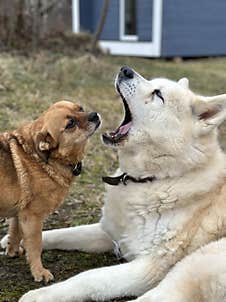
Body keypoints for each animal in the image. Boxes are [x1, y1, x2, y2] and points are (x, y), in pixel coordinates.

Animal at [0, 100, 100, 282]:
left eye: (80, 108)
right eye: (70, 124)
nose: (95, 115)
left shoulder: (20, 212)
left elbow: (15, 233)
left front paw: (12, 252)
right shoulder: (32, 217)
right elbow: (35, 246)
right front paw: (39, 272)